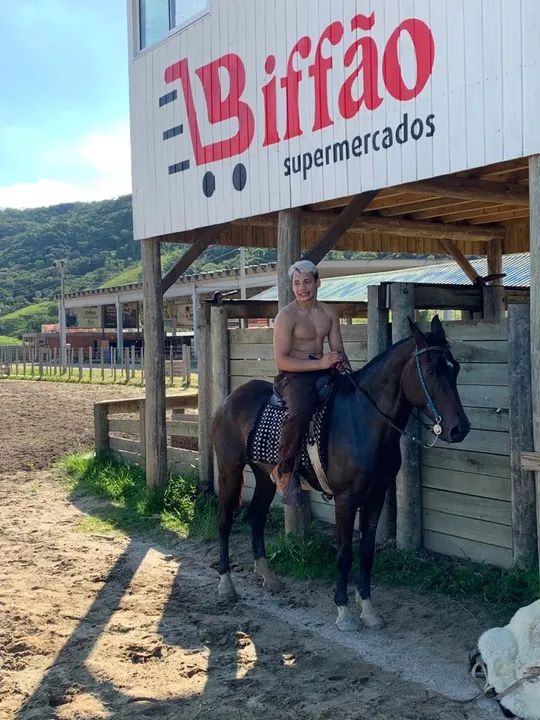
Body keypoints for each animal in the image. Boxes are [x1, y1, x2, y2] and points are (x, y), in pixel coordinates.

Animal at [212, 316, 470, 631]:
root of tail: (230, 399)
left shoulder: (376, 495)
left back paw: (268, 577)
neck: (365, 420)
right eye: (431, 369)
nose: (459, 429)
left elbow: (367, 551)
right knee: (225, 520)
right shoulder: (347, 498)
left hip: (265, 478)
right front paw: (344, 611)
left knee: (256, 517)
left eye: (455, 368)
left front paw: (368, 609)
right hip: (229, 469)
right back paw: (226, 585)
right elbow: (345, 552)